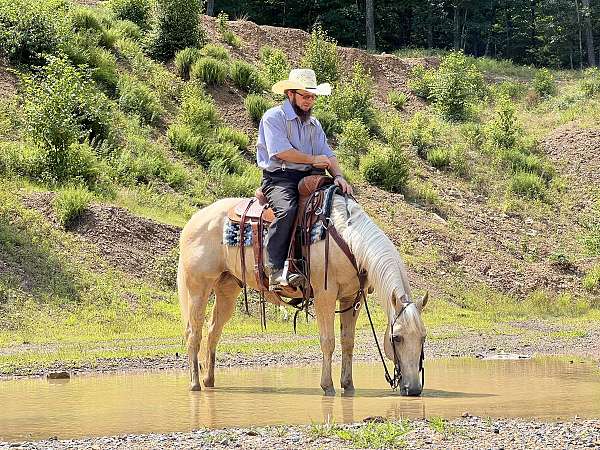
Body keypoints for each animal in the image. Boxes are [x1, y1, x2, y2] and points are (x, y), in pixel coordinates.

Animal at [176, 195, 428, 396]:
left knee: (213, 332)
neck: (348, 238)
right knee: (193, 333)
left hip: (227, 288)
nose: (414, 389)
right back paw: (195, 384)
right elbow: (328, 341)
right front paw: (327, 386)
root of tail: (194, 220)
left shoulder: (351, 299)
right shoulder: (326, 295)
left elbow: (348, 342)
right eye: (396, 338)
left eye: (423, 337)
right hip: (198, 288)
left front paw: (348, 385)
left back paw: (209, 380)